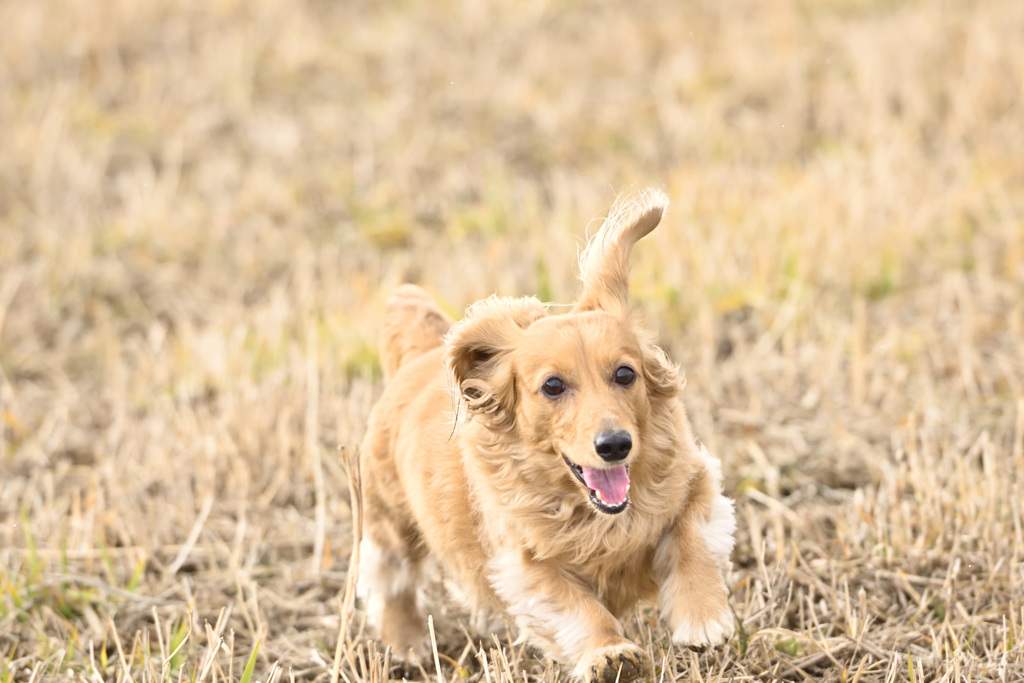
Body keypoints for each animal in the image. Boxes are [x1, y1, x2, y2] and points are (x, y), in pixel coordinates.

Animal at [358, 188, 737, 683]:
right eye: (553, 385)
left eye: (625, 374)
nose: (615, 446)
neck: (598, 517)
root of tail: (419, 356)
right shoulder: (527, 567)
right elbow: (579, 609)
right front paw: (609, 652)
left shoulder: (696, 481)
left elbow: (693, 537)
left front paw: (702, 618)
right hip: (389, 522)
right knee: (391, 583)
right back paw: (406, 646)